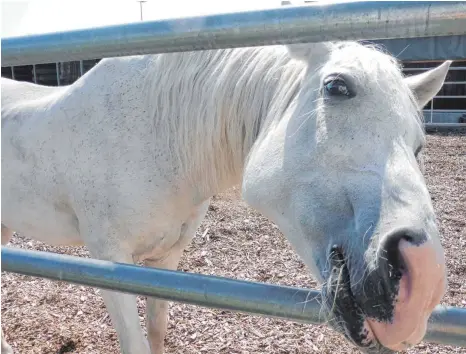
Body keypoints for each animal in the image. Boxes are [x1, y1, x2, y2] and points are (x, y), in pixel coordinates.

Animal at [0, 42, 452, 354]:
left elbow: (157, 332)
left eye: (417, 146)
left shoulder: (164, 260)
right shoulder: (108, 262)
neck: (152, 135)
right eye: (336, 87)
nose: (422, 281)